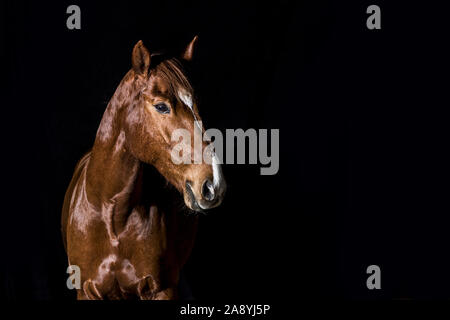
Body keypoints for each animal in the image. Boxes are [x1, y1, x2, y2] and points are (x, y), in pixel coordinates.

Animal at [61, 37, 227, 300]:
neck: (113, 216)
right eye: (161, 106)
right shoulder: (86, 291)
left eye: (197, 106)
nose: (214, 184)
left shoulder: (163, 289)